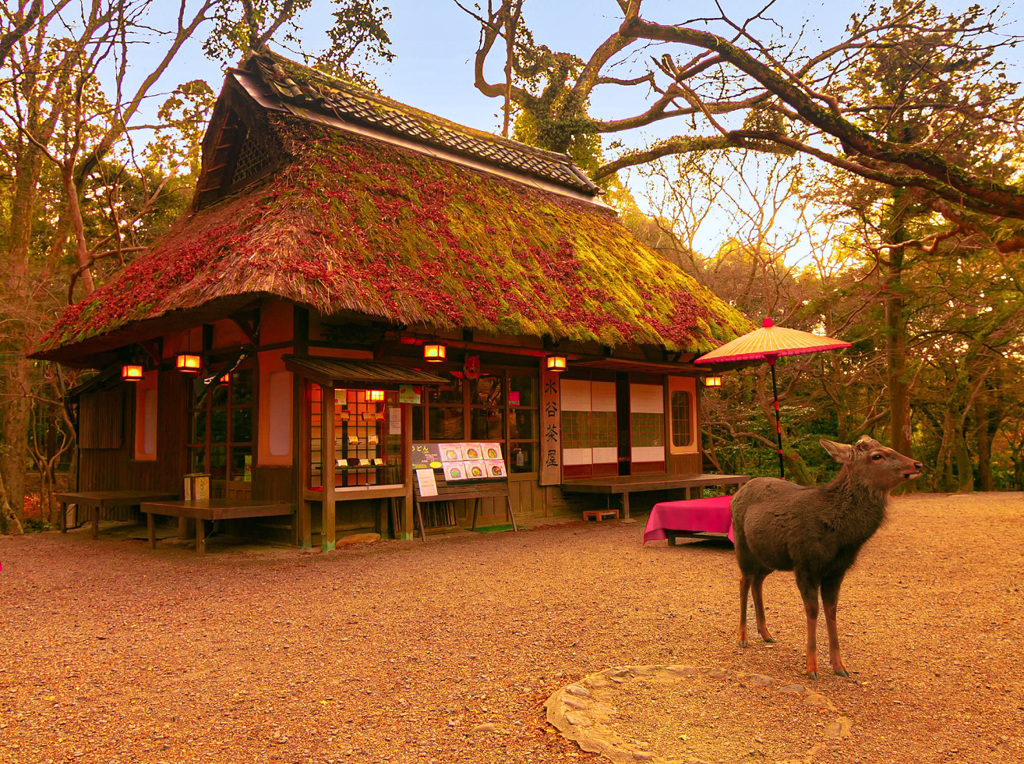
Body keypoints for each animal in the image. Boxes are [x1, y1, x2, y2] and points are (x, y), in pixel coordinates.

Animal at [733, 434, 925, 680]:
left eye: (889, 447)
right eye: (876, 456)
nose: (917, 464)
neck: (840, 536)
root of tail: (737, 493)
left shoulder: (837, 570)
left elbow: (831, 610)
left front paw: (840, 666)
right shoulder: (805, 564)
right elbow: (813, 611)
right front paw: (811, 668)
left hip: (769, 557)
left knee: (757, 581)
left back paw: (766, 633)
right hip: (743, 548)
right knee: (743, 581)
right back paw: (742, 637)